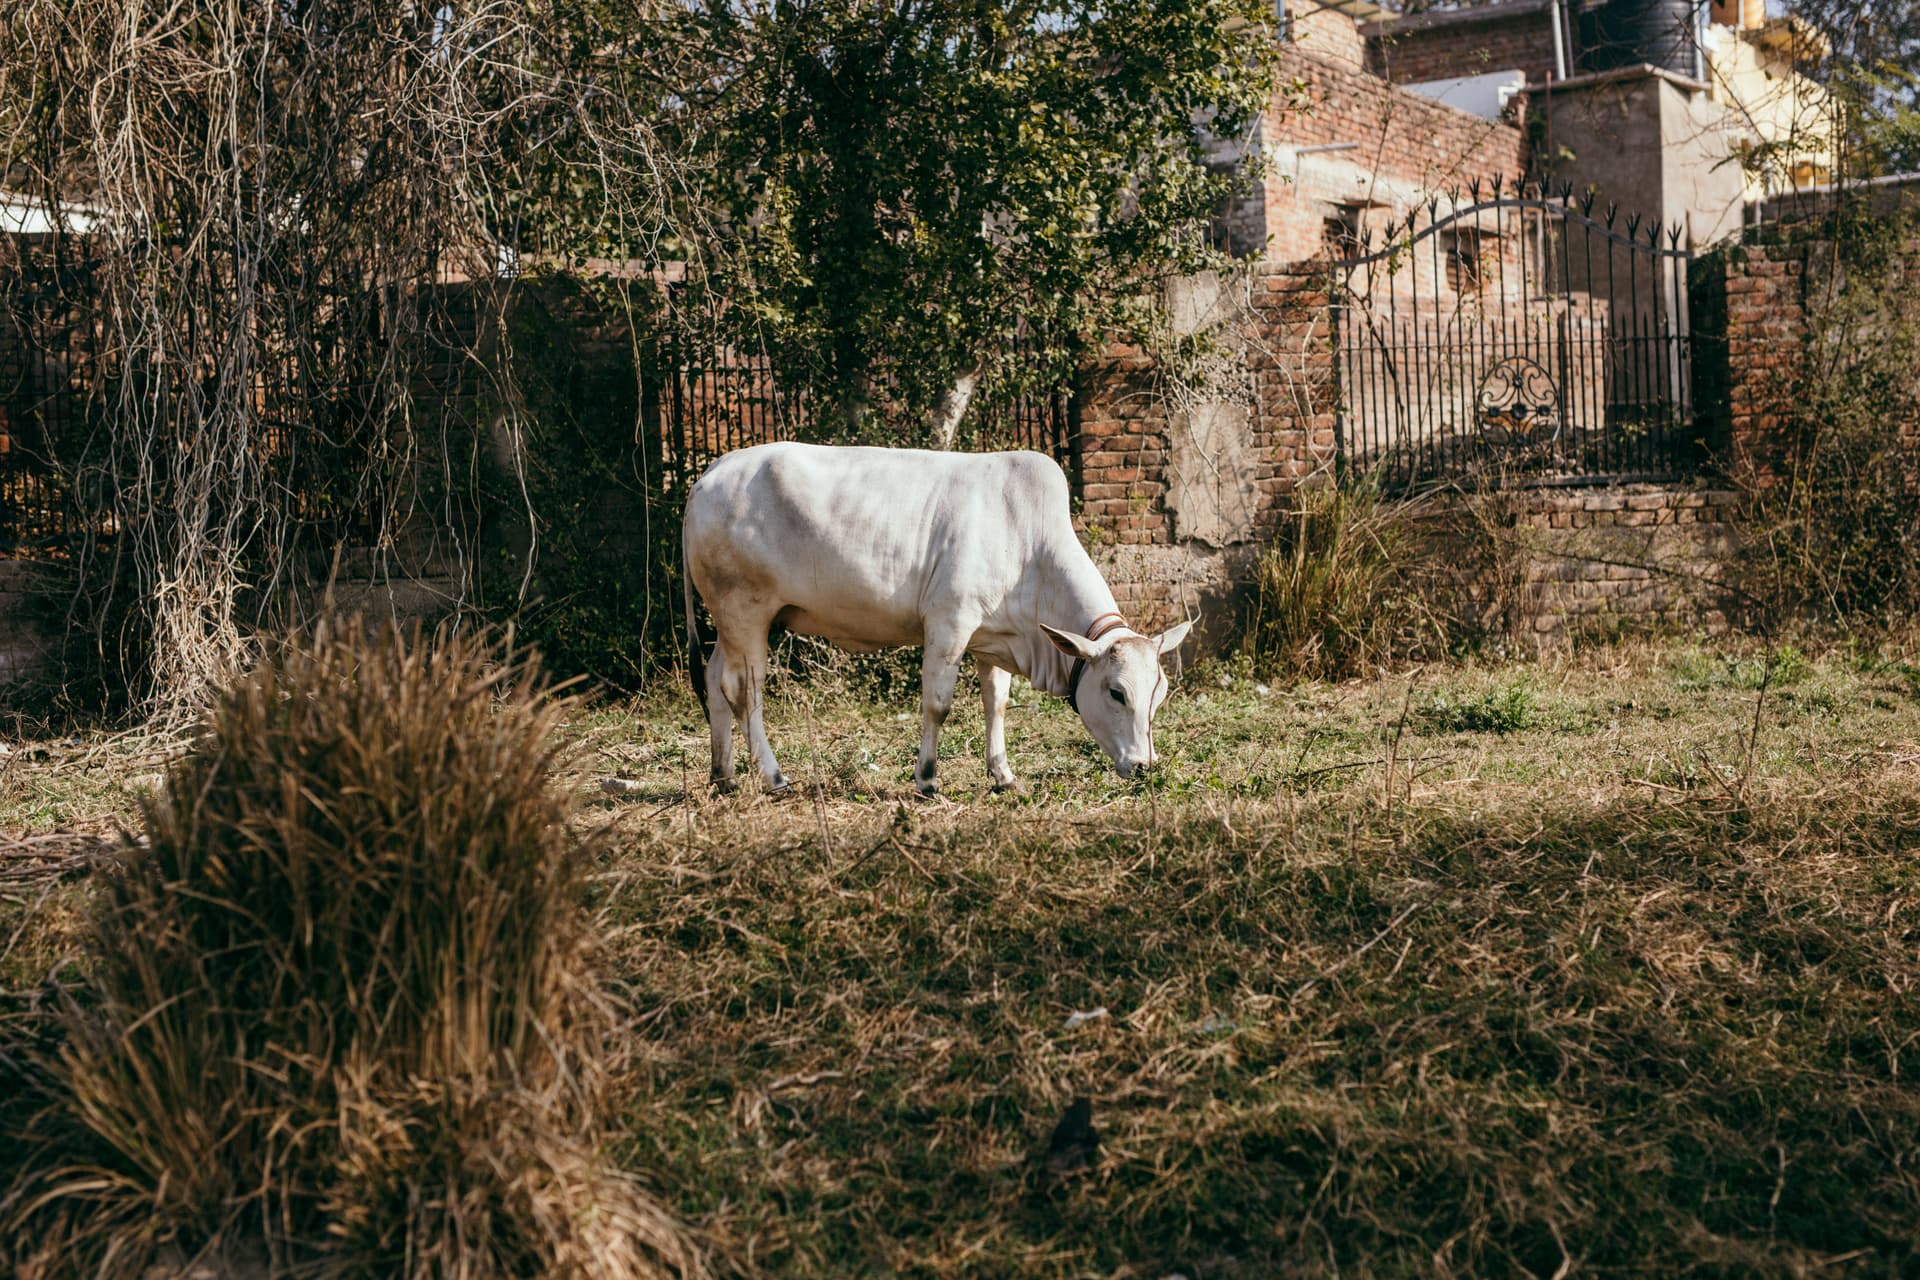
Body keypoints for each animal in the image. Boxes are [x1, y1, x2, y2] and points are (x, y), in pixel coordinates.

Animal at [682, 442, 1192, 796]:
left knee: (714, 678)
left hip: (730, 622)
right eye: (1116, 692)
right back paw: (772, 777)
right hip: (746, 612)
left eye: (1160, 694)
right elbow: (937, 704)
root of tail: (711, 474)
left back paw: (723, 775)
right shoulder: (950, 623)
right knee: (743, 691)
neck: (1030, 548)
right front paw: (927, 779)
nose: (1144, 765)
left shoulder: (993, 638)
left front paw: (1003, 775)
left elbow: (996, 703)